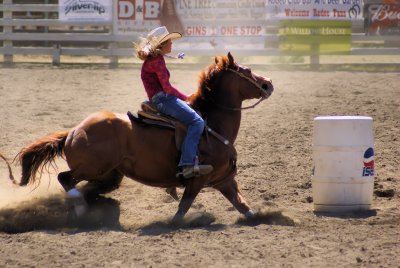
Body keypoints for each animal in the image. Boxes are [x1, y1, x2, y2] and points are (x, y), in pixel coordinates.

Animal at [14, 52, 272, 222]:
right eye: (247, 71)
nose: (268, 84)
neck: (211, 123)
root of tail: (74, 130)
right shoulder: (199, 180)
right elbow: (183, 208)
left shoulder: (224, 180)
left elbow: (243, 206)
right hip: (93, 167)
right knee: (65, 178)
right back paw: (80, 208)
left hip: (110, 174)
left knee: (90, 188)